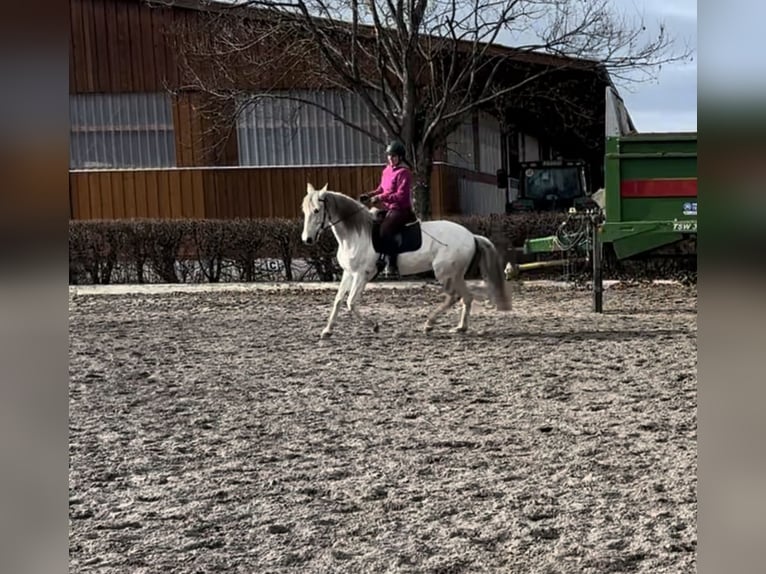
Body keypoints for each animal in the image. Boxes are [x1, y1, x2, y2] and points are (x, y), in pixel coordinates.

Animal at [304, 183, 512, 338]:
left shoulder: (362, 275)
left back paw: (429, 324)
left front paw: (374, 326)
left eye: (316, 211)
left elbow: (351, 303)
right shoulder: (349, 273)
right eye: (304, 211)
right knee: (466, 297)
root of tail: (471, 235)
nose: (307, 239)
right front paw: (327, 330)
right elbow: (338, 300)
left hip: (445, 272)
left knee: (454, 296)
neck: (356, 234)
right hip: (455, 274)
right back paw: (460, 327)